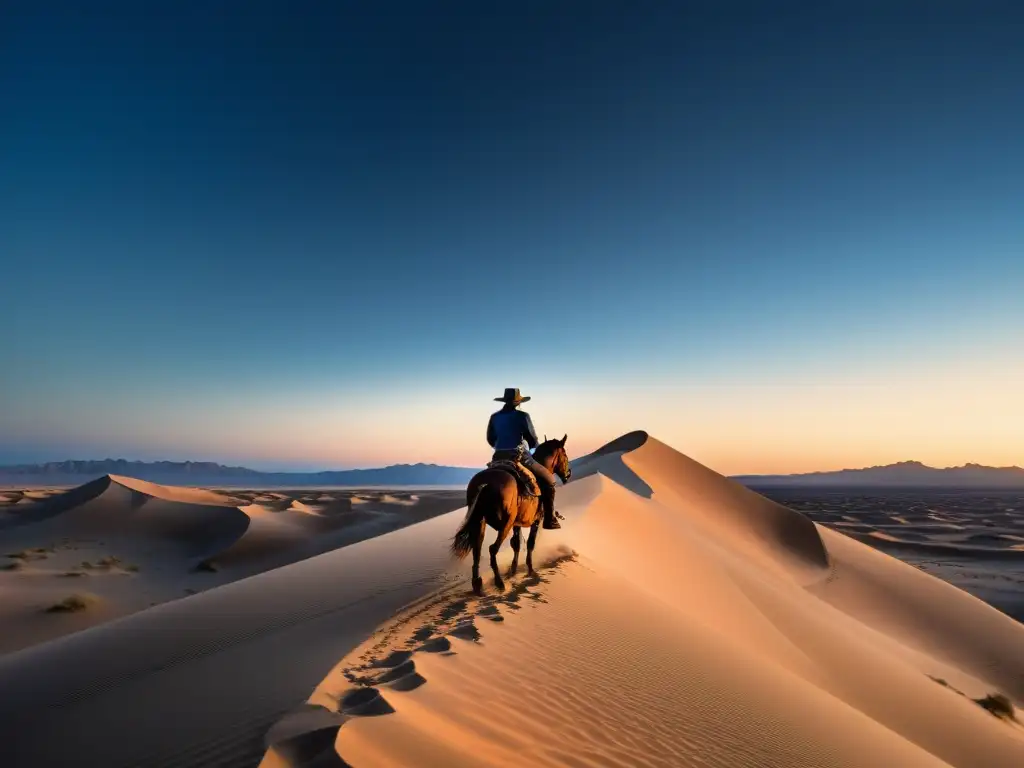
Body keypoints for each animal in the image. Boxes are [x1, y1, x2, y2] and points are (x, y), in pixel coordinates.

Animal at [452, 438, 573, 593]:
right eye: (565, 455)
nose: (567, 474)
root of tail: (486, 483)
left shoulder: (517, 523)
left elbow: (516, 544)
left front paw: (513, 571)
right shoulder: (536, 520)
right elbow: (530, 544)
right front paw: (530, 570)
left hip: (480, 521)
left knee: (477, 548)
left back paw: (478, 584)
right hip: (505, 523)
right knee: (492, 548)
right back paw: (499, 582)